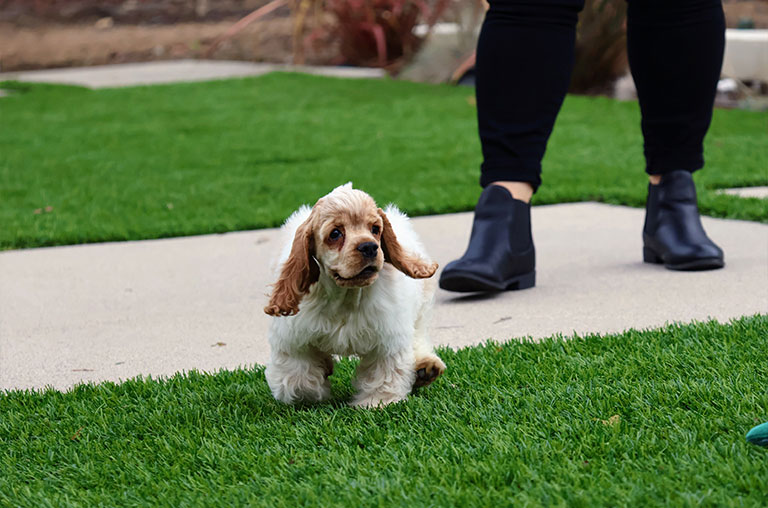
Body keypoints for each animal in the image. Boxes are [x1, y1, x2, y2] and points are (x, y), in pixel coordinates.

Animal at [262, 183, 444, 408]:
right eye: (335, 233)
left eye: (375, 229)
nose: (370, 246)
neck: (346, 296)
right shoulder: (294, 341)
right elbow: (299, 379)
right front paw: (321, 374)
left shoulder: (388, 337)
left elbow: (385, 374)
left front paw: (377, 402)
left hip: (419, 310)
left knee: (418, 335)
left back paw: (425, 368)